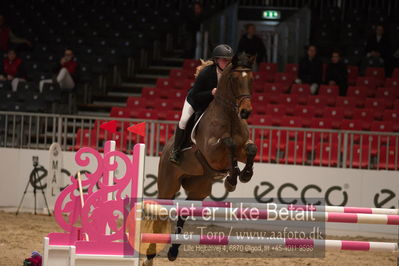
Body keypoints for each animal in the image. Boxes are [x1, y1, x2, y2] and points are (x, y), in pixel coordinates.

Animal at [145, 53, 258, 264]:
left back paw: (173, 251)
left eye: (251, 79)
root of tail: (165, 149)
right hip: (168, 185)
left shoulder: (242, 148)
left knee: (184, 212)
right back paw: (150, 253)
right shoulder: (212, 152)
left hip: (199, 188)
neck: (230, 116)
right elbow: (228, 143)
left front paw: (244, 174)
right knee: (161, 212)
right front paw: (232, 179)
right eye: (234, 80)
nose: (245, 112)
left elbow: (251, 148)